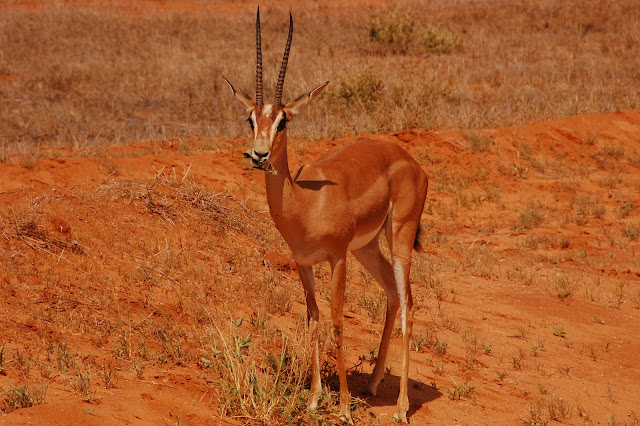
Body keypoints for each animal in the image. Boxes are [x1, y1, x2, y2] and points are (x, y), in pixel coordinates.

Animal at [222, 7, 428, 424]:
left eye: (283, 120)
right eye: (251, 119)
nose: (260, 155)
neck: (305, 204)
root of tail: (412, 163)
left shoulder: (337, 258)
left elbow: (335, 322)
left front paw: (344, 408)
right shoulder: (304, 263)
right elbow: (313, 318)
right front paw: (315, 399)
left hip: (398, 238)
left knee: (409, 304)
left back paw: (400, 407)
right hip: (367, 248)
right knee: (391, 293)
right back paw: (372, 384)